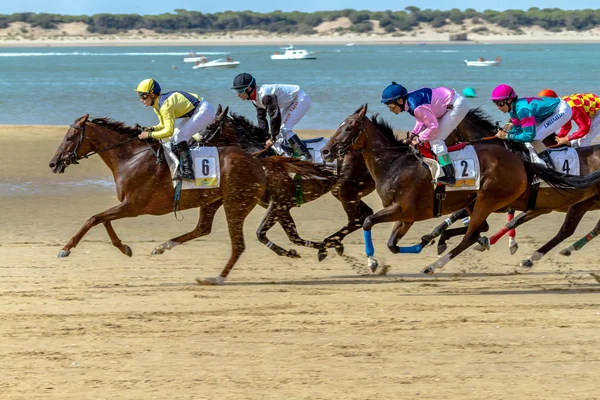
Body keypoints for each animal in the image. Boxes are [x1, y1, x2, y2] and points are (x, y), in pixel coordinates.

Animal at [324, 104, 600, 276]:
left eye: (349, 126)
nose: (326, 151)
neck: (395, 164)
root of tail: (520, 161)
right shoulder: (407, 216)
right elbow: (392, 243)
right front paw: (425, 242)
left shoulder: (404, 210)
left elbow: (368, 221)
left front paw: (373, 261)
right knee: (564, 230)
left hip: (490, 199)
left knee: (472, 234)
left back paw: (436, 264)